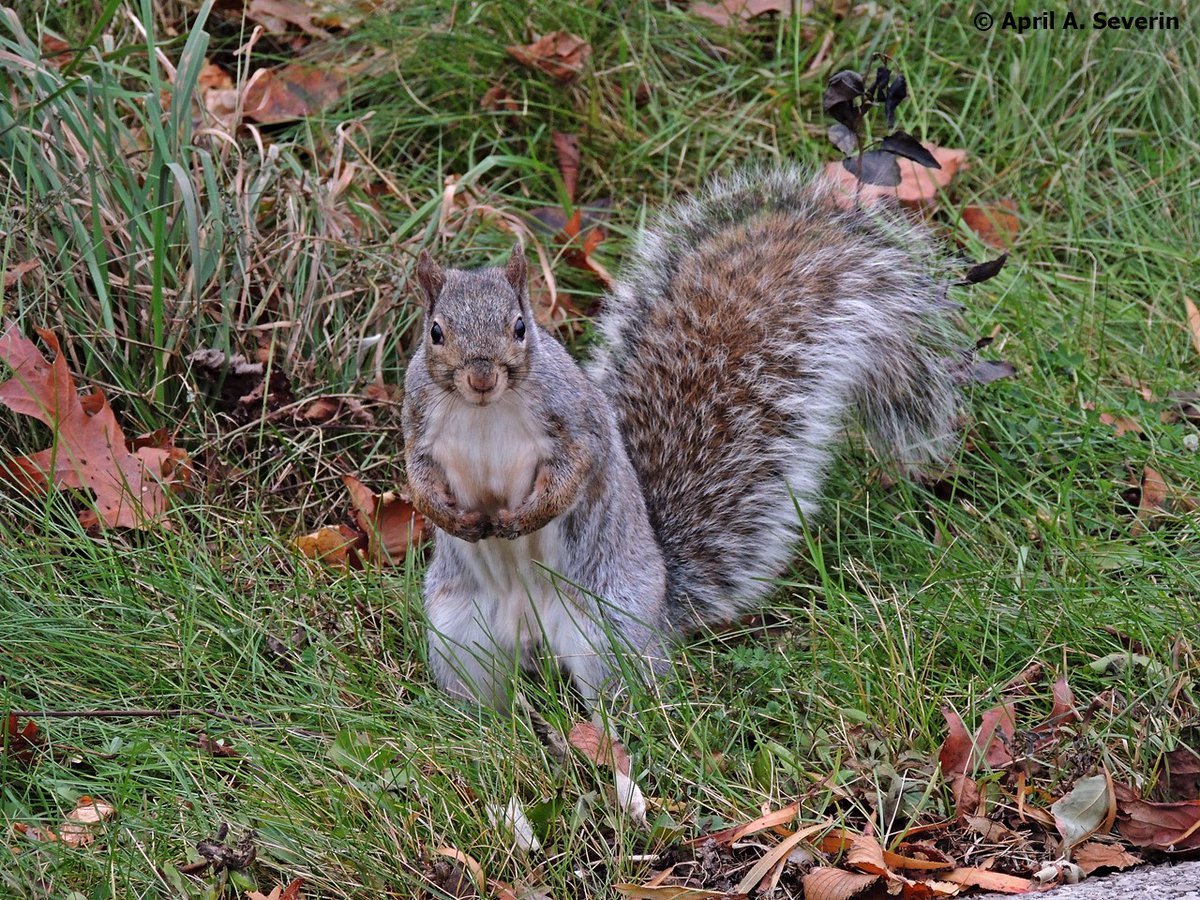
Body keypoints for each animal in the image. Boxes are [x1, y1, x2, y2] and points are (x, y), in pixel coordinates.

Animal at [403, 162, 964, 710]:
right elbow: (417, 473)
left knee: (624, 696)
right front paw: (445, 514)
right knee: (480, 694)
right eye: (436, 332)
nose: (481, 377)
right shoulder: (418, 420)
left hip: (609, 633)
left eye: (520, 327)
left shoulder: (575, 417)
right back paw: (479, 724)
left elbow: (576, 468)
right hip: (461, 634)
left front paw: (526, 516)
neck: (485, 411)